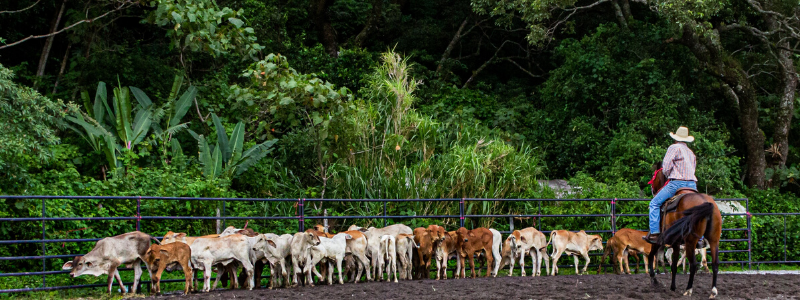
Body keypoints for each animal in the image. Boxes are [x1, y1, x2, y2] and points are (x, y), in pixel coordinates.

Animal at [648, 163, 720, 298]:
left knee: (693, 265)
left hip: (690, 241)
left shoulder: (663, 240)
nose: (652, 190)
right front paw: (671, 286)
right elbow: (674, 265)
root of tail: (706, 202)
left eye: (654, 176)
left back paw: (688, 290)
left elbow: (655, 257)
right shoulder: (676, 243)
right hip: (713, 240)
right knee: (715, 263)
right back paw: (713, 291)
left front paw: (656, 280)